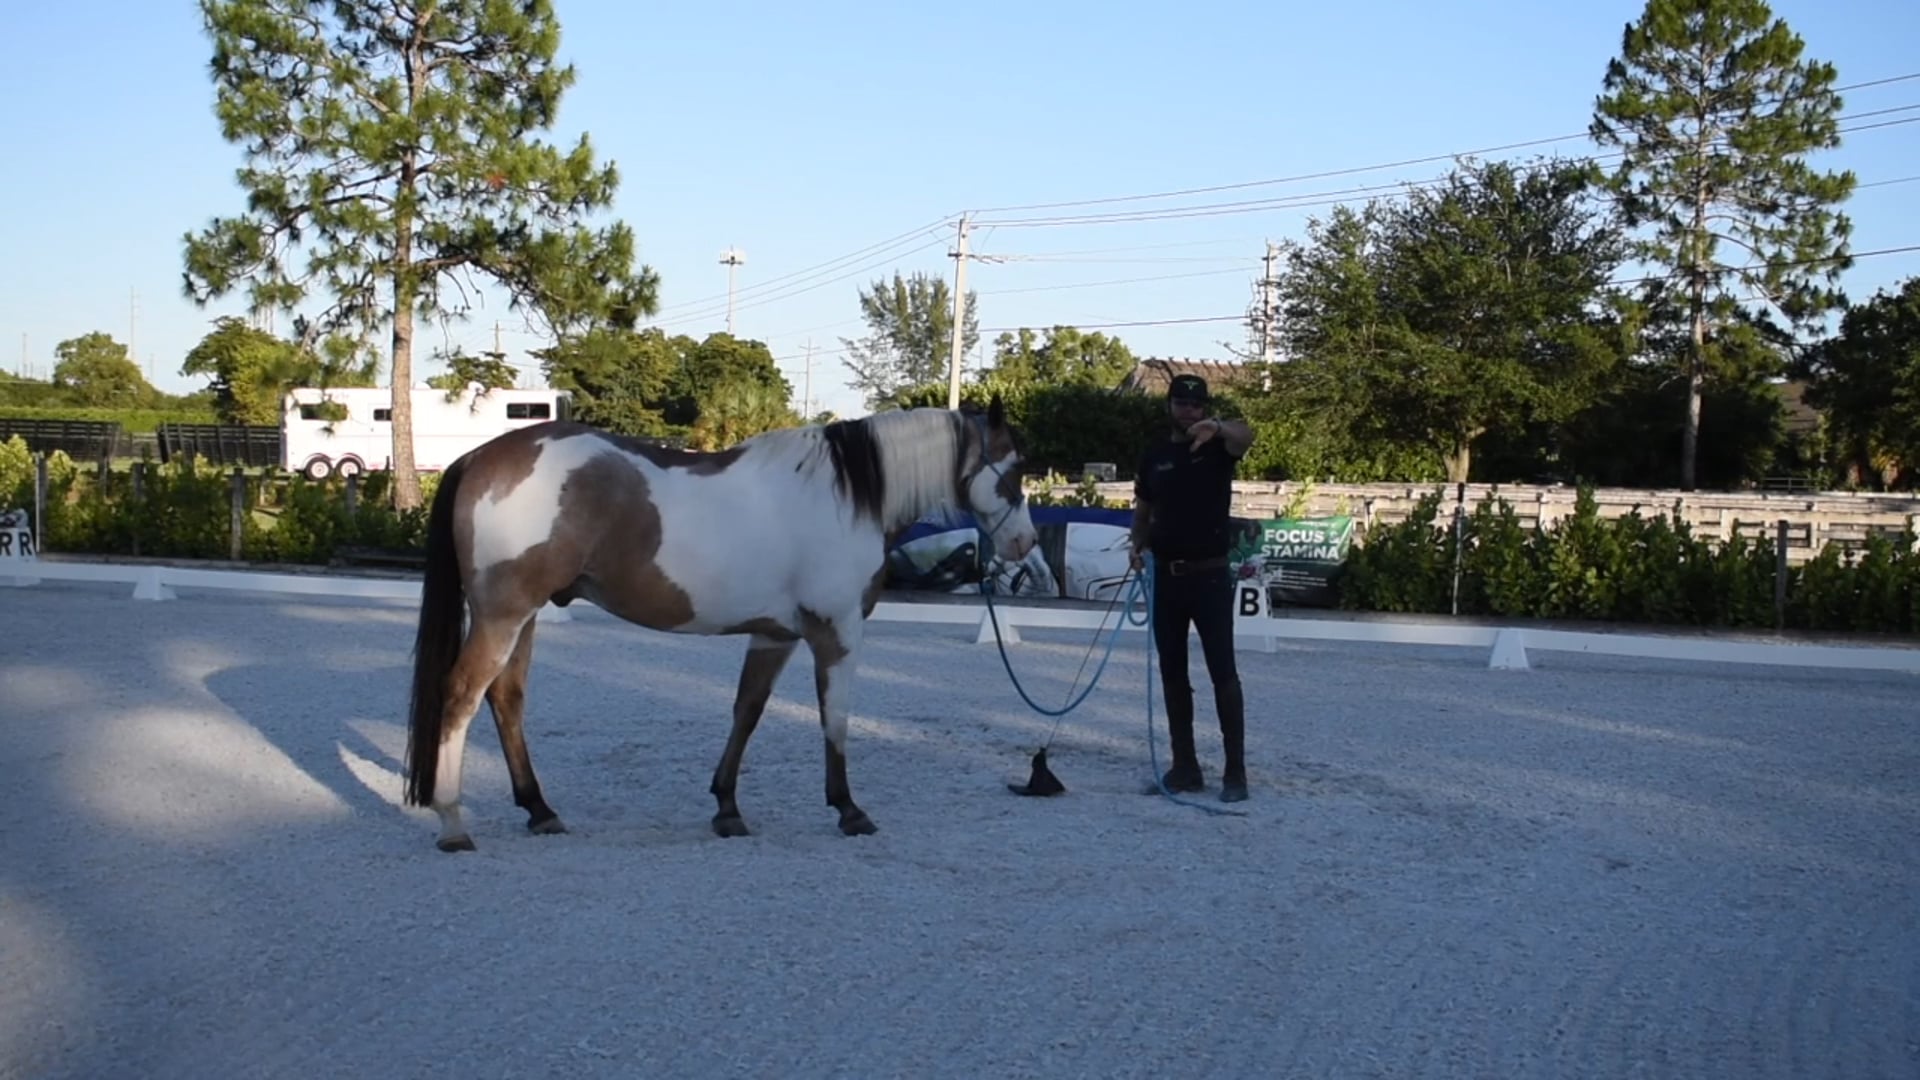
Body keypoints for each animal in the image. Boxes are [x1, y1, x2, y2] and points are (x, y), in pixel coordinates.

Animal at [400, 396, 1039, 852]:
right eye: (1013, 469)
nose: (1024, 543)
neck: (846, 497)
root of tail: (480, 457)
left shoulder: (775, 635)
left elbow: (746, 712)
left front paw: (727, 808)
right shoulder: (836, 635)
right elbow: (834, 719)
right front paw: (849, 808)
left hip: (525, 615)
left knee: (505, 698)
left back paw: (540, 810)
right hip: (503, 615)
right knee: (461, 694)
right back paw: (453, 823)